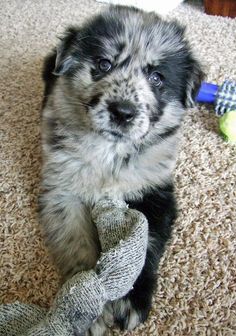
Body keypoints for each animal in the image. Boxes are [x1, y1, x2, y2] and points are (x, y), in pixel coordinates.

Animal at [38, 4, 203, 334]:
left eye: (157, 77)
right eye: (103, 64)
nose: (122, 112)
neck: (111, 152)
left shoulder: (154, 188)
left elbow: (145, 245)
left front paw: (128, 300)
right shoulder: (63, 192)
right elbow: (76, 244)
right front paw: (87, 307)